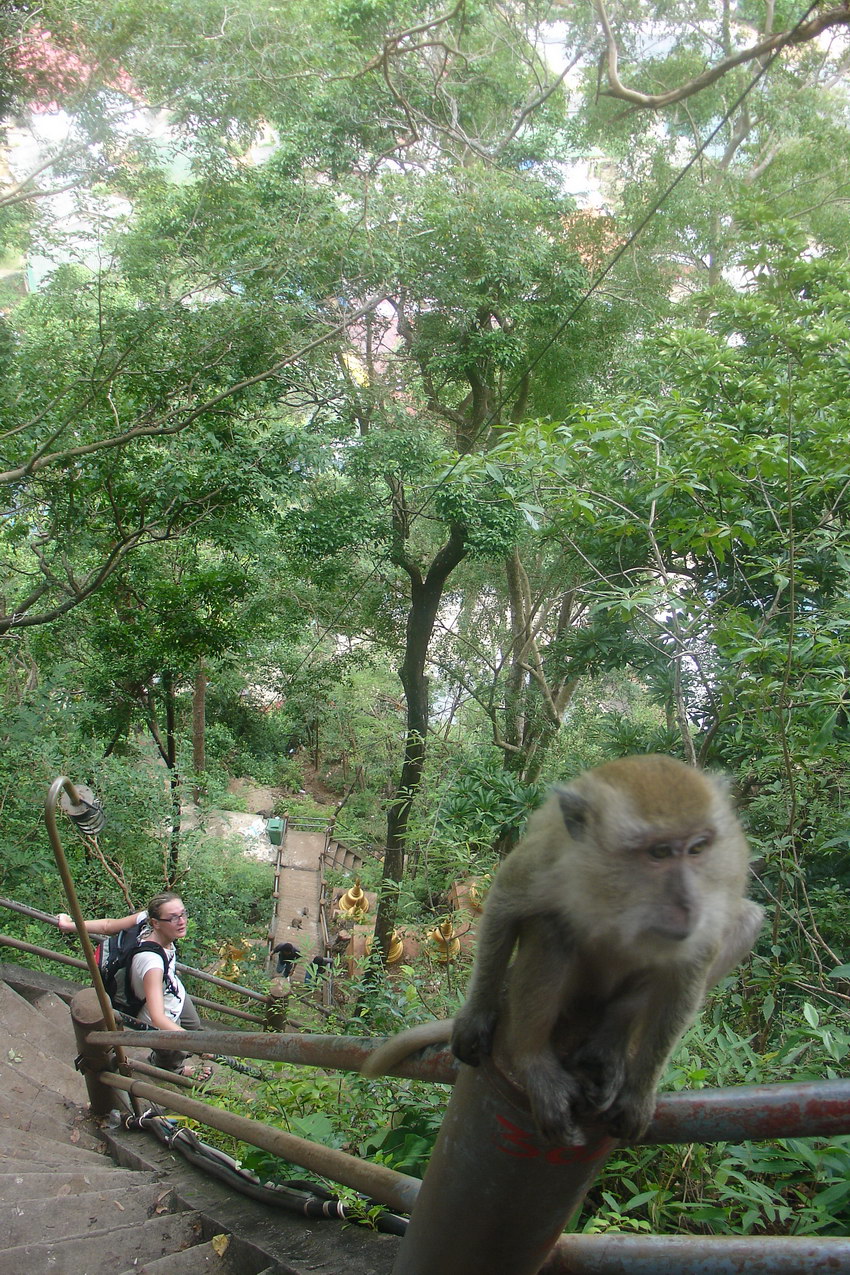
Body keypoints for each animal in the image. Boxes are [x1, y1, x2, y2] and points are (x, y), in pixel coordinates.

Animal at [359, 754, 764, 1147]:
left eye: (698, 848)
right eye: (659, 853)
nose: (689, 902)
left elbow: (691, 964)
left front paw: (639, 1092)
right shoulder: (551, 859)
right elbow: (505, 901)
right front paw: (476, 1016)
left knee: (744, 920)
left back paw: (612, 1038)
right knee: (552, 928)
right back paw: (533, 1061)